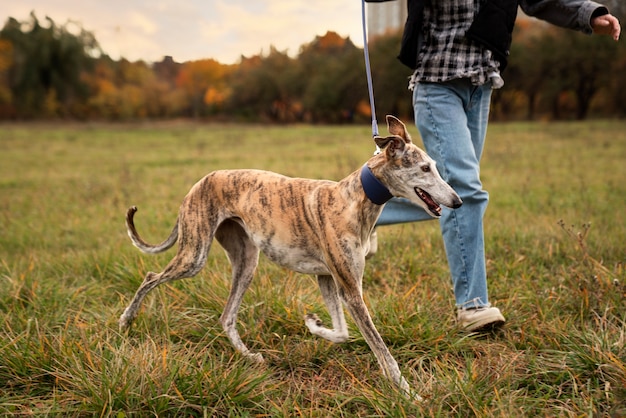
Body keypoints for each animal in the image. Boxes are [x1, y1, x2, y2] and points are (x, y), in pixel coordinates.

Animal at [118, 114, 458, 398]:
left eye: (434, 166)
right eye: (425, 168)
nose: (457, 201)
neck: (354, 198)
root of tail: (199, 183)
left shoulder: (327, 278)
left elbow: (342, 332)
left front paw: (313, 324)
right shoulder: (350, 289)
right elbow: (382, 352)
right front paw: (409, 395)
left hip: (246, 262)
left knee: (226, 317)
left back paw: (249, 356)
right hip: (194, 256)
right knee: (151, 276)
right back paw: (126, 320)